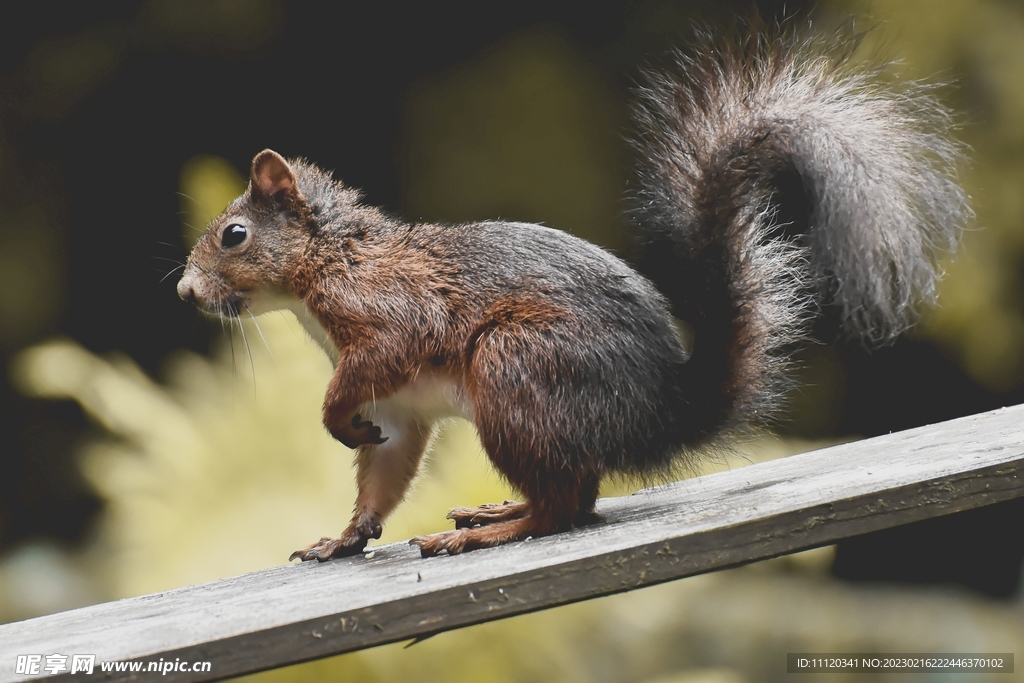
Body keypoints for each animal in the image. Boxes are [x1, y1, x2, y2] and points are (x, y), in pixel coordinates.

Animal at [176, 25, 966, 561]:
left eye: (234, 235)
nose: (186, 290)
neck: (328, 262)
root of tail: (658, 414)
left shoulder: (390, 313)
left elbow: (376, 364)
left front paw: (334, 418)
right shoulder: (397, 410)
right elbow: (382, 476)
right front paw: (342, 539)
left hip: (517, 366)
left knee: (566, 508)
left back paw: (492, 530)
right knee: (574, 496)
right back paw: (494, 512)